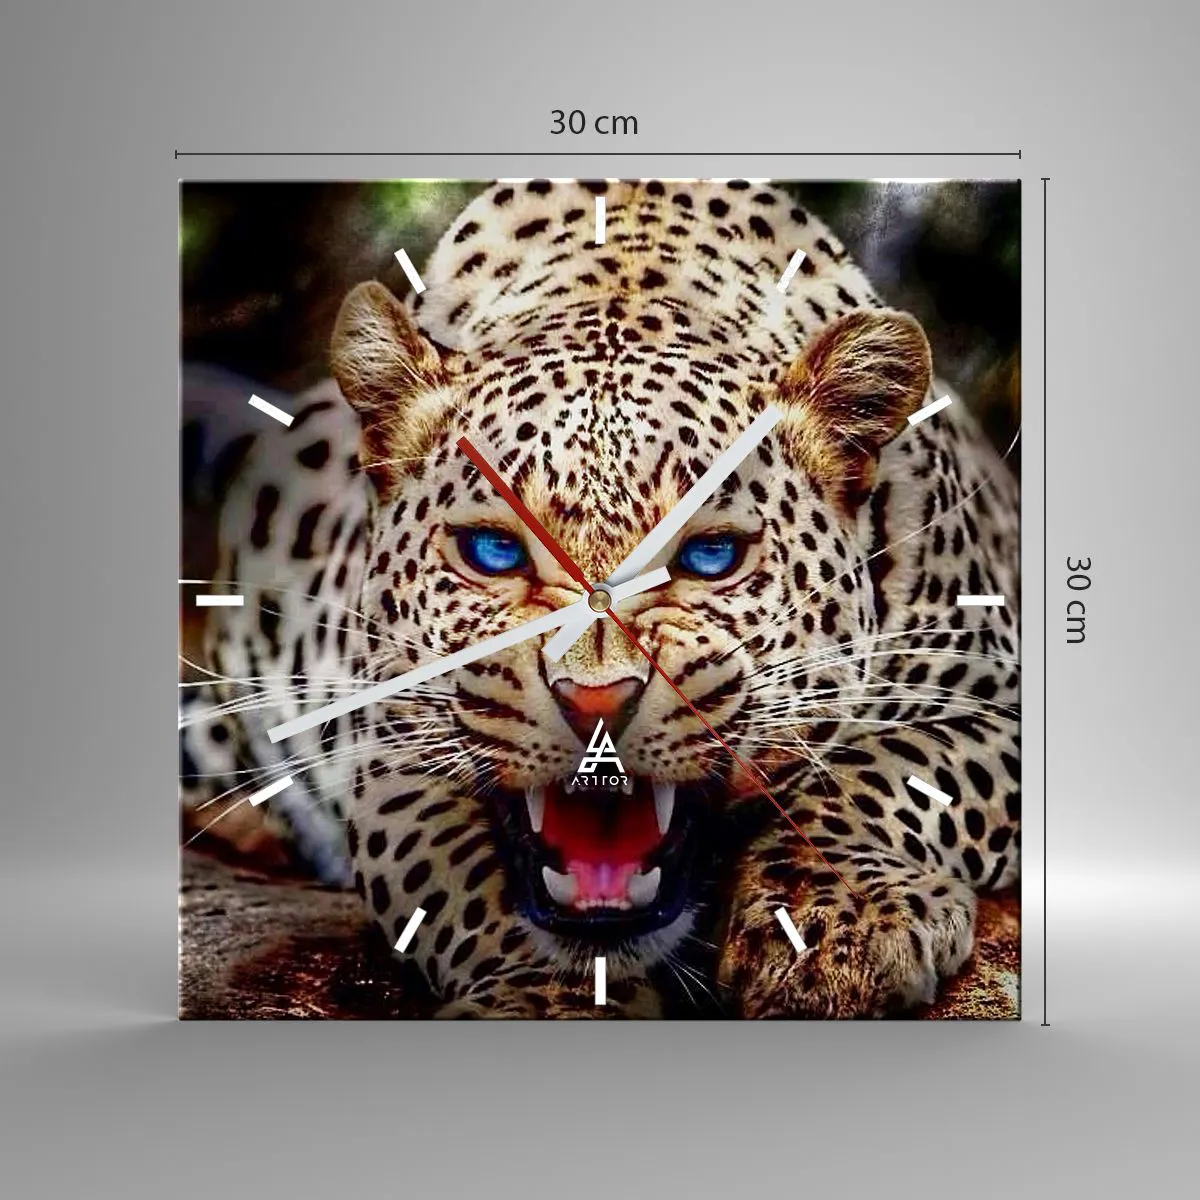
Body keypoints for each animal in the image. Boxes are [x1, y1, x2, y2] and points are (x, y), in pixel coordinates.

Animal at [180, 178, 1020, 1019]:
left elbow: (880, 772)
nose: (595, 701)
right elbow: (464, 883)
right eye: (493, 552)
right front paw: (545, 999)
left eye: (710, 556)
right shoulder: (391, 754)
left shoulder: (995, 699)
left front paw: (838, 920)